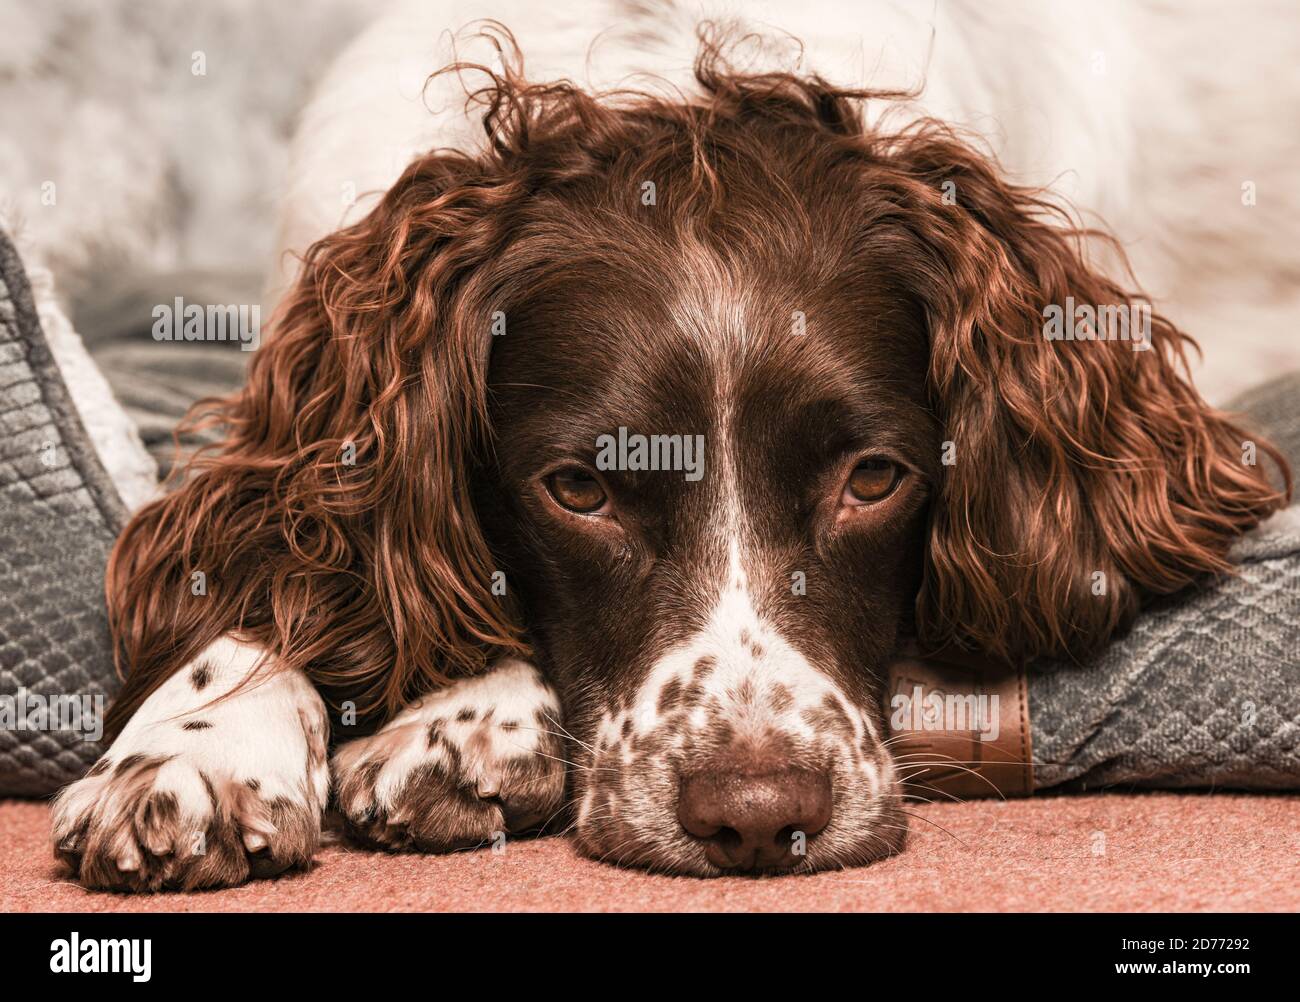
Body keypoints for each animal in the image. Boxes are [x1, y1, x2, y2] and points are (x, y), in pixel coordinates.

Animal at [48, 1, 1289, 894]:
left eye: (873, 479)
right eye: (578, 490)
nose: (758, 819)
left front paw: (460, 718)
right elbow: (279, 553)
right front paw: (199, 747)